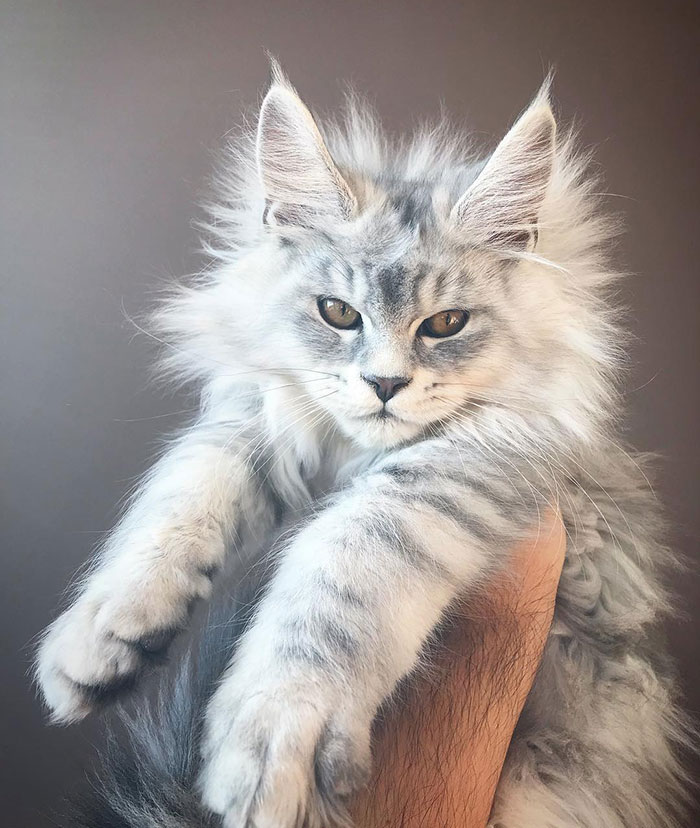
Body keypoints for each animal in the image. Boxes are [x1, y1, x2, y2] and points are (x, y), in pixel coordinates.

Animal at [32, 66, 688, 828]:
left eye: (447, 323)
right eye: (338, 313)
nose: (385, 384)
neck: (351, 455)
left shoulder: (471, 466)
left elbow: (342, 570)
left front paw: (274, 731)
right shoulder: (258, 419)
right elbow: (181, 494)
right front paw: (101, 632)